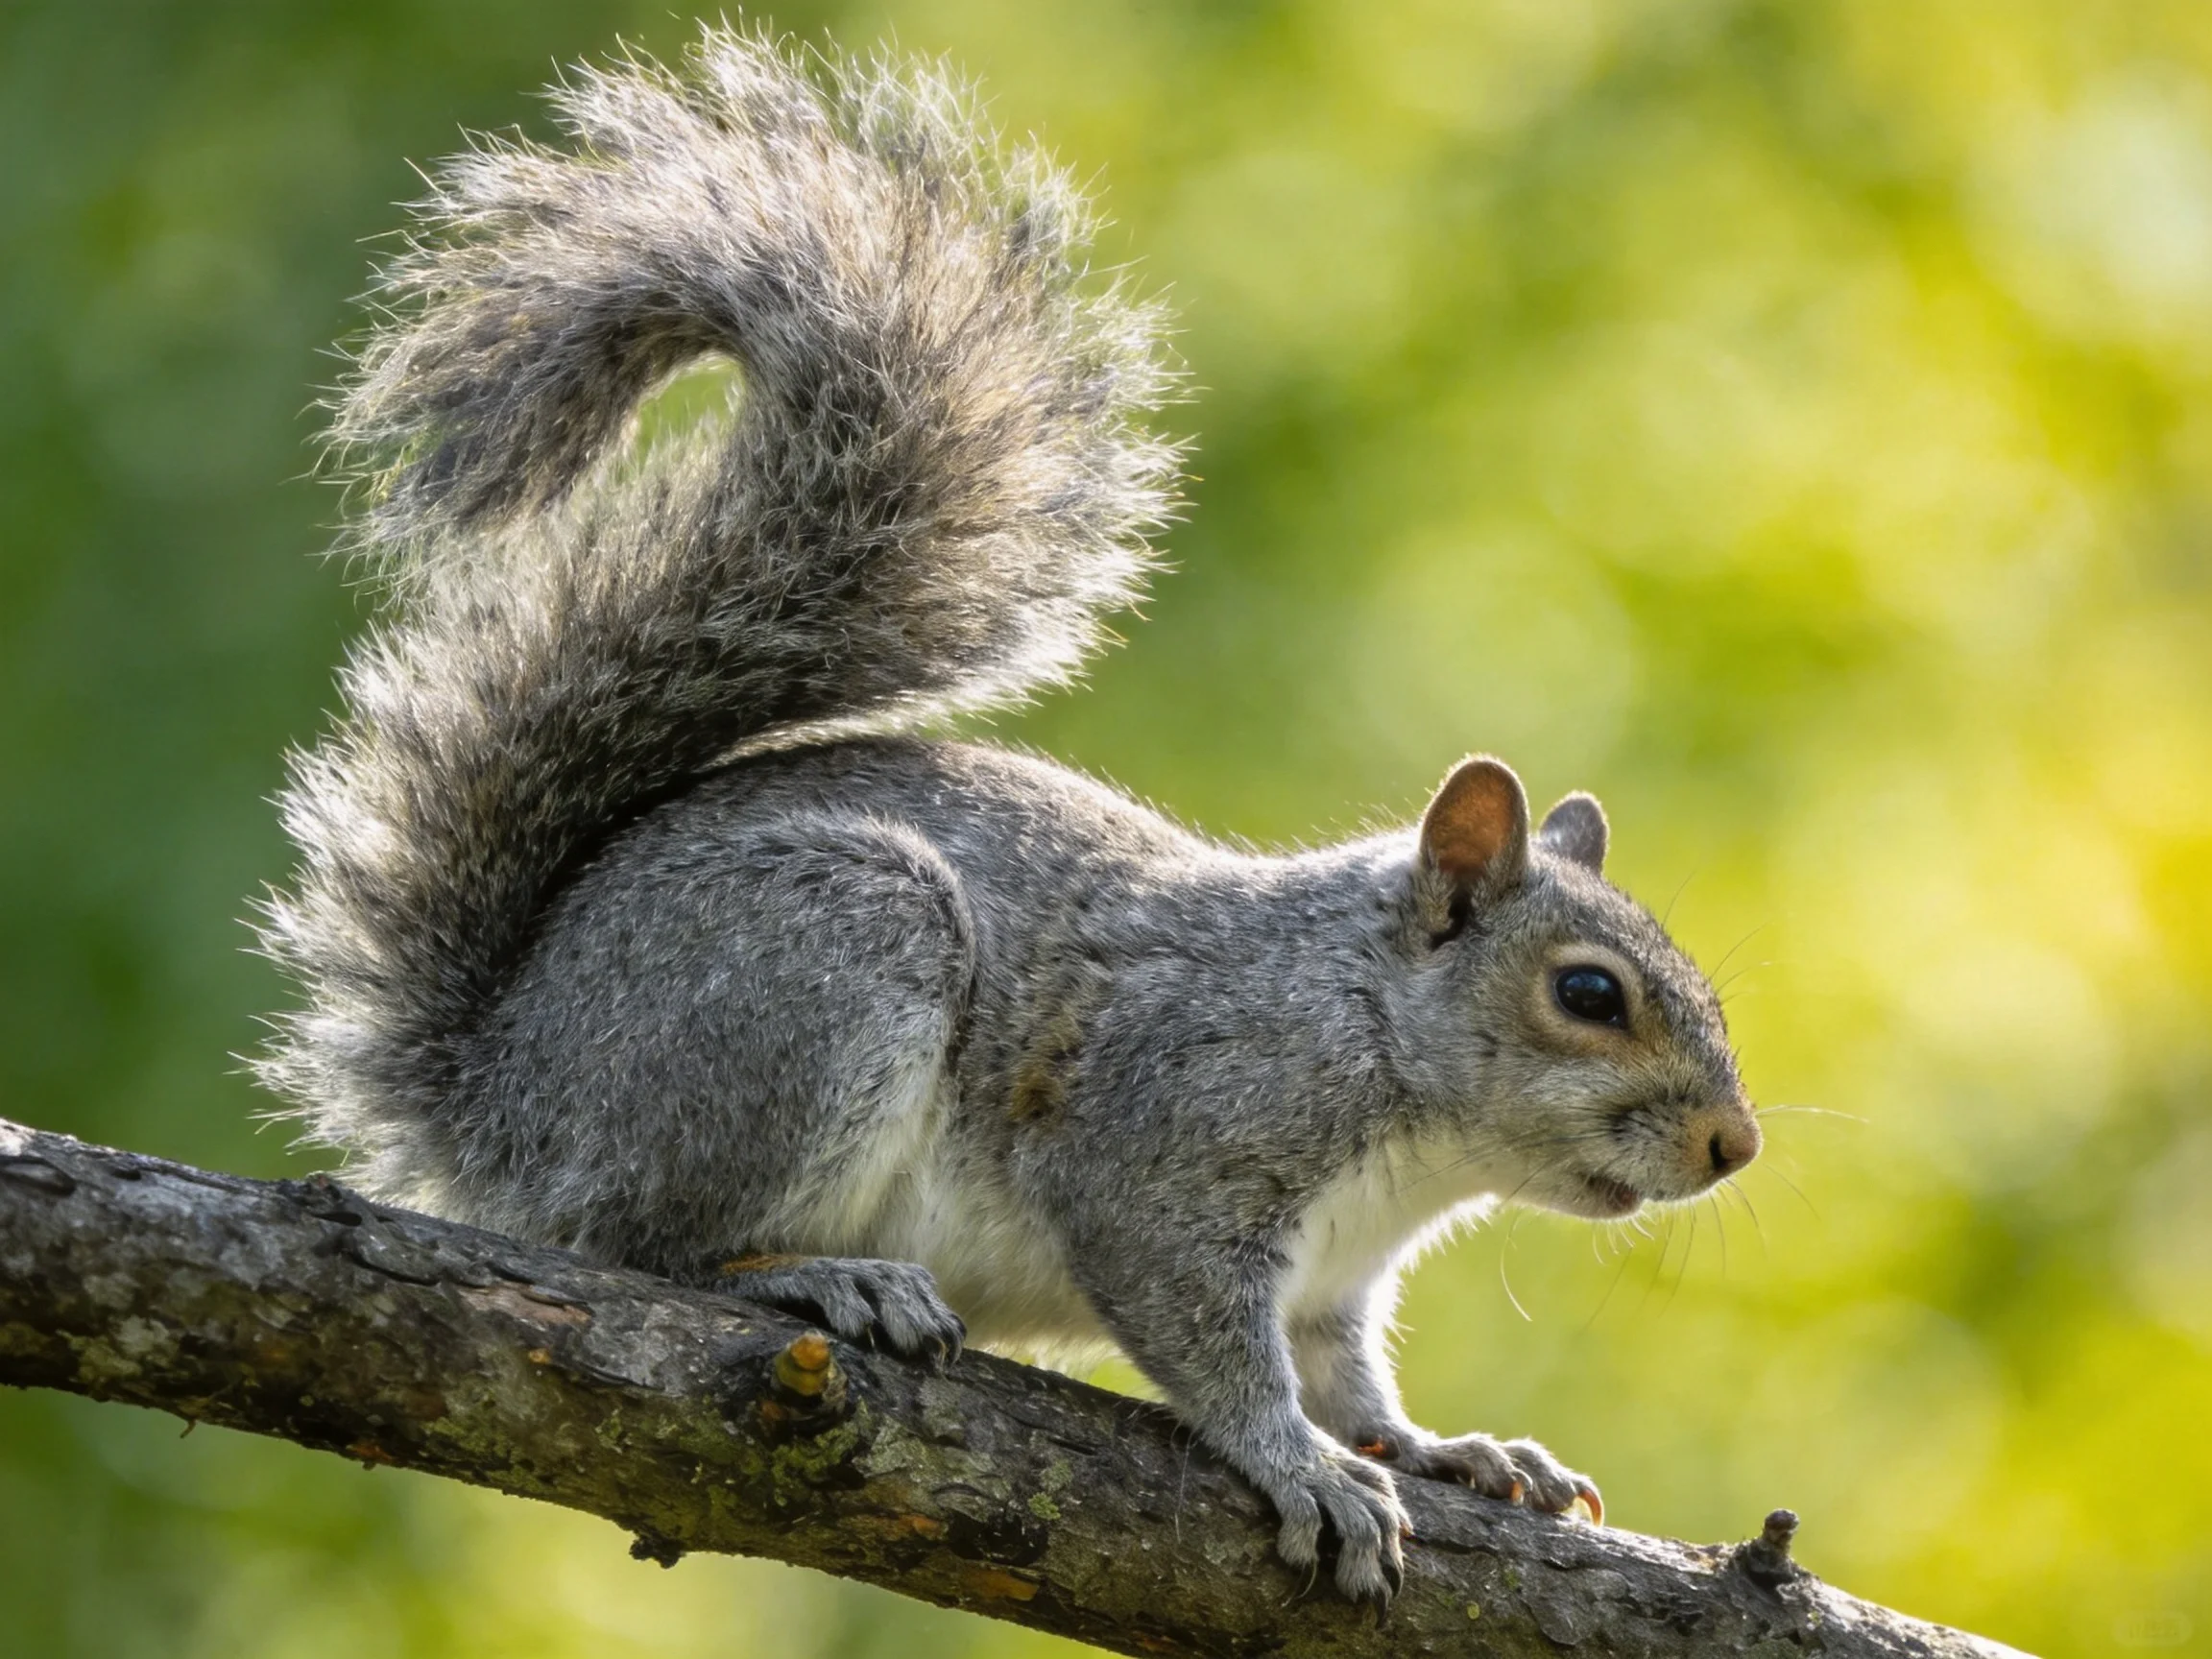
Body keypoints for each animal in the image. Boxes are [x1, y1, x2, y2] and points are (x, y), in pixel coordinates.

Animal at [255, 26, 1761, 1606]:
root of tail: (496, 1092)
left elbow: (1347, 1376)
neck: (1376, 1058)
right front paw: (1301, 1467)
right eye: (1587, 995)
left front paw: (1449, 1450)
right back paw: (817, 1274)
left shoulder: (1335, 1282)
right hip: (814, 972)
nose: (1737, 1147)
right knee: (633, 1241)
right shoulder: (1168, 1141)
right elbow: (1210, 1342)